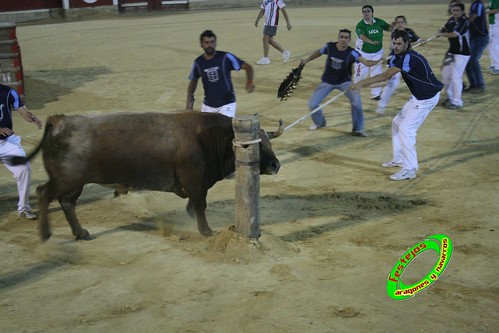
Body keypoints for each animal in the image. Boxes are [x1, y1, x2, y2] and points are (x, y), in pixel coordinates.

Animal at [11, 111, 284, 239]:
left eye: (269, 141)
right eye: (259, 145)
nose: (276, 165)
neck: (209, 137)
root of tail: (59, 121)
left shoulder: (194, 186)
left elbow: (193, 206)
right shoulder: (196, 183)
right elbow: (200, 205)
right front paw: (206, 230)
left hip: (75, 183)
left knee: (67, 203)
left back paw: (80, 233)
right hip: (66, 179)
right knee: (43, 193)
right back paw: (45, 233)